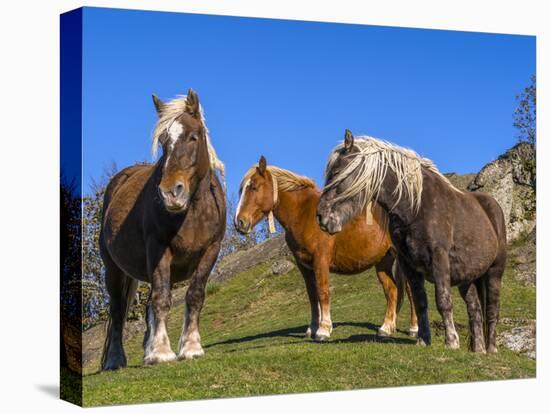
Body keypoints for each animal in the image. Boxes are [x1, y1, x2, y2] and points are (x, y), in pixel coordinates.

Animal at [234, 154, 418, 340]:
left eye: (254, 187)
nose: (239, 222)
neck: (304, 215)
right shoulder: (304, 266)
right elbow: (312, 295)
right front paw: (312, 328)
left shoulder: (320, 261)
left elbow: (323, 291)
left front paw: (323, 329)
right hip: (383, 262)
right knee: (392, 290)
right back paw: (385, 328)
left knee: (410, 291)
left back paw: (414, 329)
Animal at [320, 130, 508, 352]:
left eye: (337, 173)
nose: (321, 217)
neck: (416, 207)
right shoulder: (408, 264)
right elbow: (420, 302)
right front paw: (423, 339)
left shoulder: (439, 258)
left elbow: (443, 301)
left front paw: (451, 341)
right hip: (467, 279)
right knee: (475, 310)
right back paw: (478, 350)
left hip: (494, 272)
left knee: (492, 310)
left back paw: (491, 349)